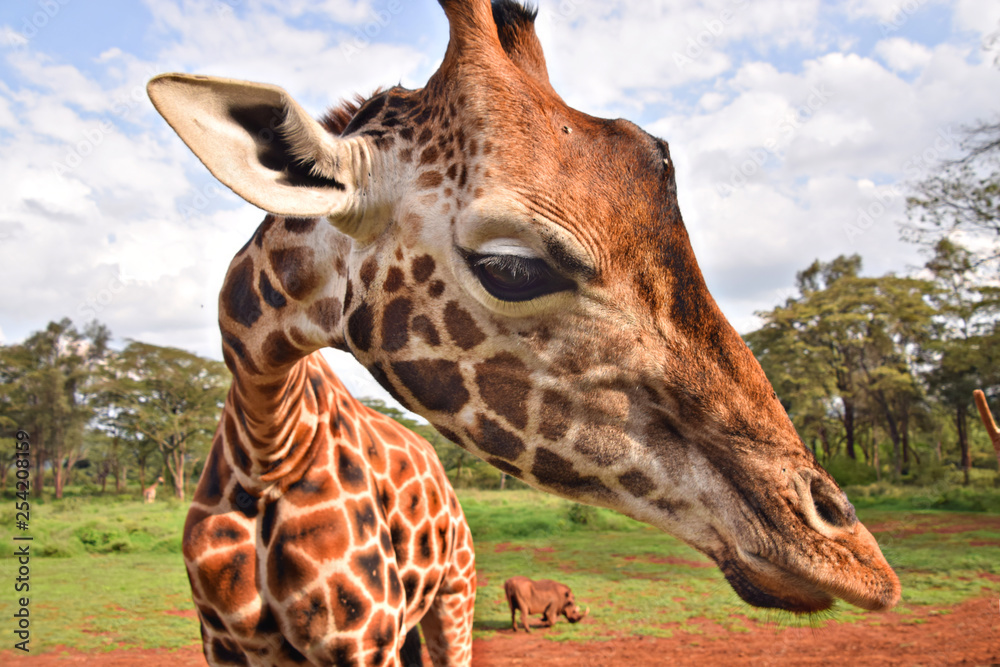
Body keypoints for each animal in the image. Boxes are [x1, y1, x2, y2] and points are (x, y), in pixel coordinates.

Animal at [148, 0, 902, 657]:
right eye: (512, 268)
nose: (855, 558)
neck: (268, 439)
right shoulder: (233, 641)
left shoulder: (362, 637)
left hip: (452, 597)